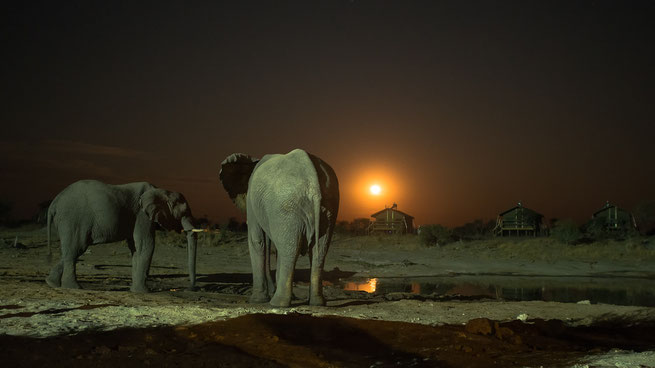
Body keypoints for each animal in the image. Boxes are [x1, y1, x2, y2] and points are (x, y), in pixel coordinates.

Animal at [45, 179, 197, 294]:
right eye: (183, 211)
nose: (190, 289)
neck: (162, 191)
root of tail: (54, 202)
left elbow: (135, 248)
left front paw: (134, 291)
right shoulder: (142, 215)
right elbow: (146, 245)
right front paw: (143, 292)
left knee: (71, 250)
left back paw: (52, 283)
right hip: (73, 219)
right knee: (77, 248)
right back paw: (74, 287)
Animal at [222, 148, 340, 306]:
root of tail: (313, 181)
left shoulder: (252, 202)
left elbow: (257, 241)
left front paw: (256, 301)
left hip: (285, 206)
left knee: (290, 250)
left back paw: (277, 303)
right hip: (328, 207)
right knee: (319, 250)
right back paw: (317, 302)